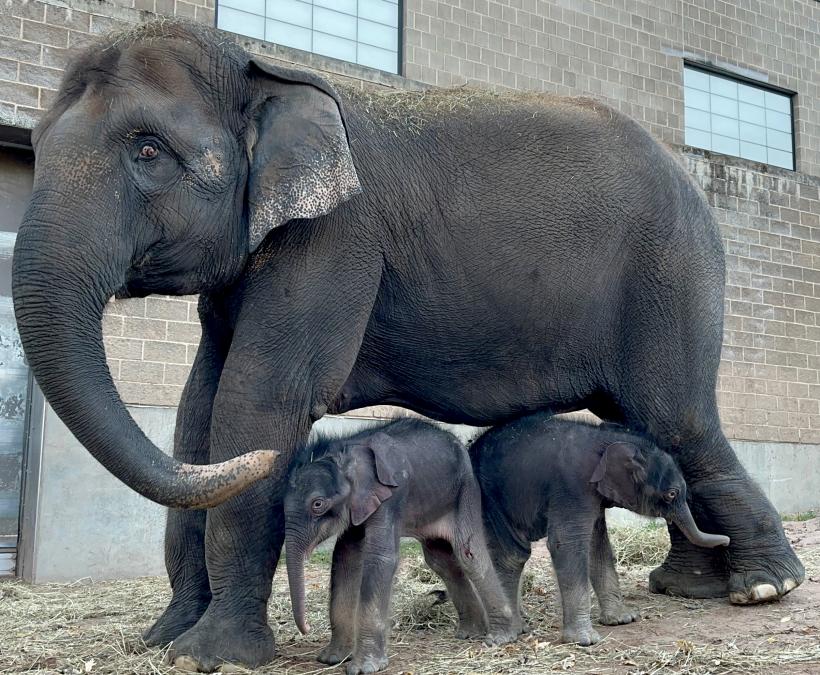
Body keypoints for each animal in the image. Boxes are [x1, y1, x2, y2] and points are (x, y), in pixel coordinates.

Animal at [283, 418, 518, 675]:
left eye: (318, 504)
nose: (305, 629)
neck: (347, 452)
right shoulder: (360, 504)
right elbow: (345, 557)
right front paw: (332, 658)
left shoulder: (391, 495)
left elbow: (380, 558)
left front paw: (364, 668)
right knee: (440, 561)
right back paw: (470, 633)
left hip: (465, 489)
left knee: (469, 553)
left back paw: (500, 638)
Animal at [458, 414, 731, 646]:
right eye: (672, 494)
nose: (726, 540)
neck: (605, 439)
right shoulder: (573, 487)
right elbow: (566, 543)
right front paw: (585, 640)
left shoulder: (594, 496)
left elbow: (596, 545)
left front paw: (624, 619)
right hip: (488, 496)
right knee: (512, 555)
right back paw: (509, 632)